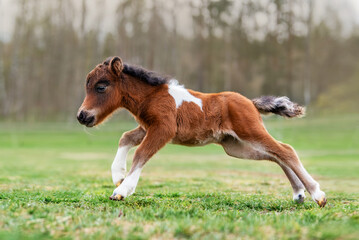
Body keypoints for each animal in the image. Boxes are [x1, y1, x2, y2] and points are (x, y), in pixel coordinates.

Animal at [77, 56, 328, 208]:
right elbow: (125, 138)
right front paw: (118, 175)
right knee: (275, 155)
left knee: (286, 150)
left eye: (101, 86)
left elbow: (141, 154)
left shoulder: (164, 129)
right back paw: (298, 193)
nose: (82, 116)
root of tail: (251, 103)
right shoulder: (146, 127)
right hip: (235, 147)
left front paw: (122, 190)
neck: (152, 96)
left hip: (250, 132)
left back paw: (318, 195)